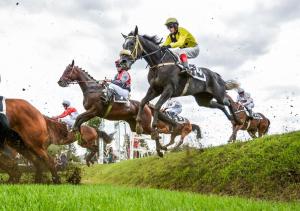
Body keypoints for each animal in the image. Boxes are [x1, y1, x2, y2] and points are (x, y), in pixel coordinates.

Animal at [56, 60, 202, 156]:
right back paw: (162, 149)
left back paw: (162, 149)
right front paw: (76, 132)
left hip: (145, 124)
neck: (92, 89)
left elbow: (79, 118)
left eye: (68, 71)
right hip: (135, 126)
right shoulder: (91, 113)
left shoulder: (94, 111)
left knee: (158, 133)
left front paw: (75, 131)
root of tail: (146, 106)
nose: (60, 81)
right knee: (155, 133)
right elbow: (79, 120)